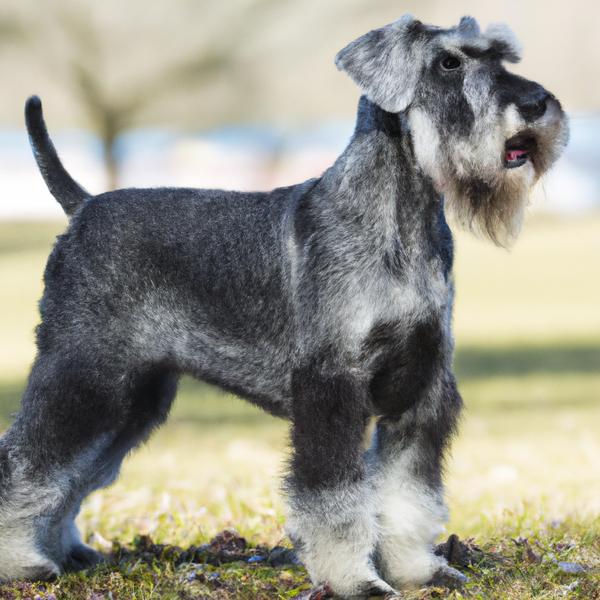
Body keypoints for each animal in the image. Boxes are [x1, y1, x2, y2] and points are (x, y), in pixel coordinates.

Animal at [0, 15, 568, 600]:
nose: (538, 103)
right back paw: (24, 562)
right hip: (85, 372)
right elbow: (333, 499)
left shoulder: (420, 391)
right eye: (449, 63)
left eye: (501, 58)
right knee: (29, 463)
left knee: (75, 472)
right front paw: (354, 580)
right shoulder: (332, 387)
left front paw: (419, 570)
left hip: (134, 396)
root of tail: (83, 206)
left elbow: (409, 493)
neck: (397, 219)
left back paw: (65, 552)